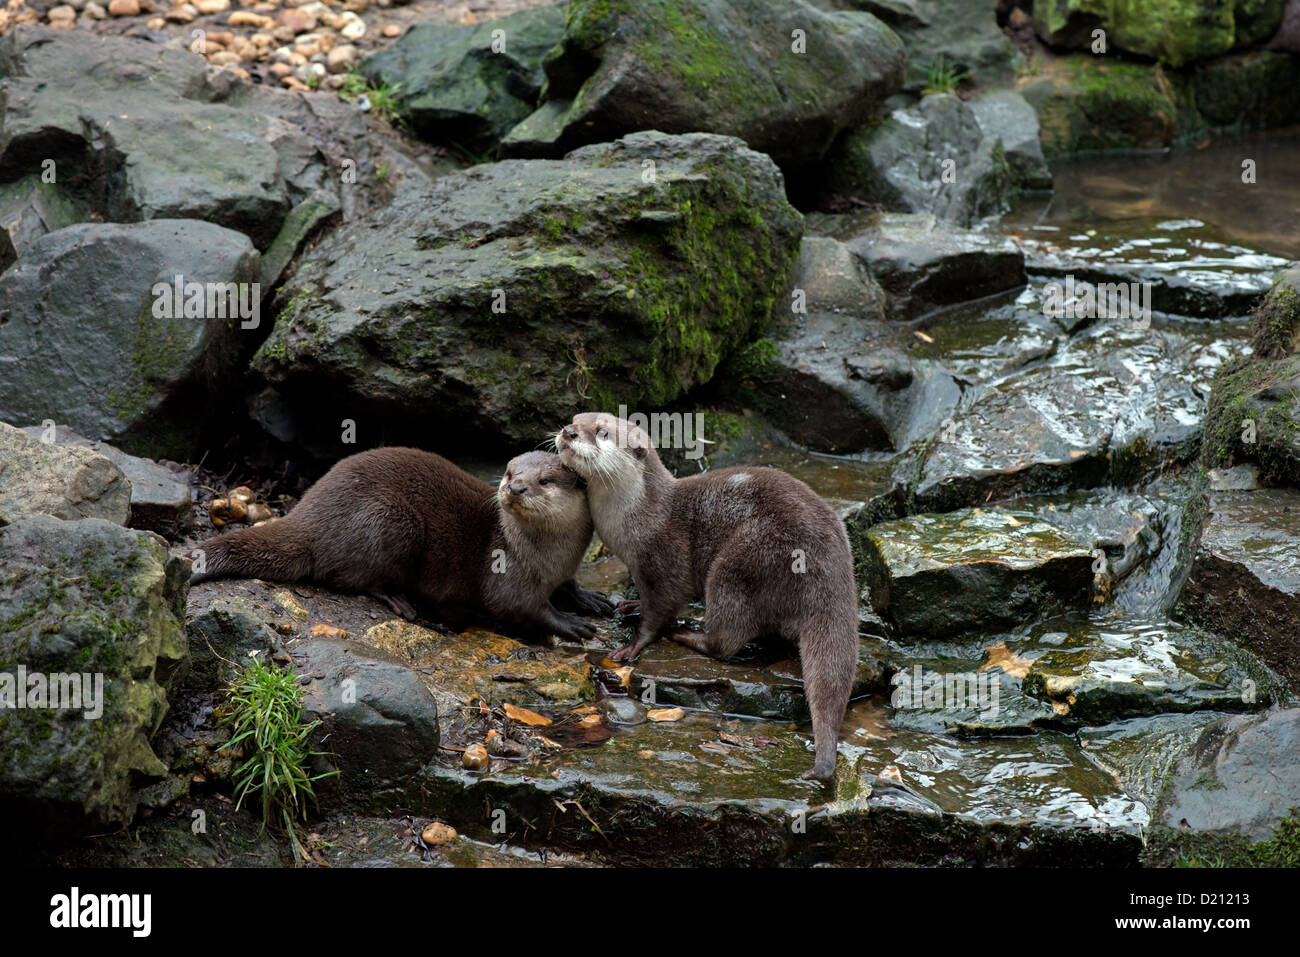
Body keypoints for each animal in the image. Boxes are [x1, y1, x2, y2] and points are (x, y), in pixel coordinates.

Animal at [191, 444, 613, 639]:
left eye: (544, 480)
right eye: (510, 473)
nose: (516, 487)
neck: (552, 556)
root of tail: (307, 514)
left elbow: (569, 584)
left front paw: (589, 598)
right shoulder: (507, 573)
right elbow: (520, 607)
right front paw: (568, 622)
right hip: (391, 522)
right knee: (350, 577)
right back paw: (400, 600)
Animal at [553, 413, 857, 785]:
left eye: (601, 432)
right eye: (574, 420)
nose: (568, 432)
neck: (638, 519)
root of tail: (831, 565)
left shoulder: (663, 560)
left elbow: (661, 610)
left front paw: (633, 645)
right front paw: (631, 605)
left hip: (742, 562)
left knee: (726, 639)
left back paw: (689, 634)